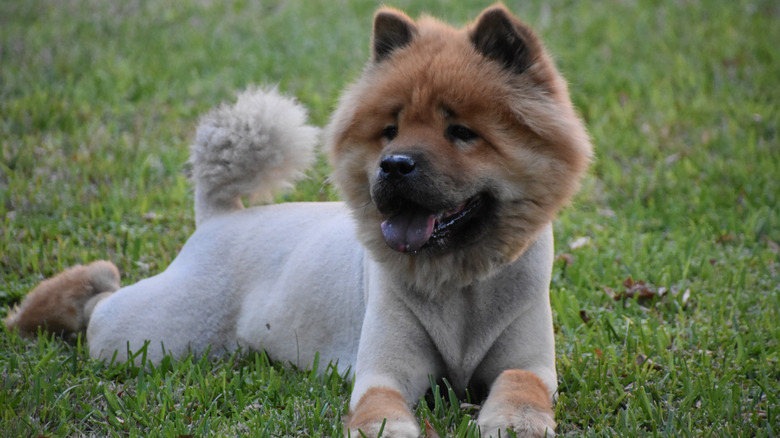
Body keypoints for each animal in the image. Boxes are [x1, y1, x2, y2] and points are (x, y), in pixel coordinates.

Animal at [4, 4, 592, 438]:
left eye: (462, 133)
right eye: (391, 129)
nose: (394, 165)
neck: (459, 286)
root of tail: (219, 216)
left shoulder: (529, 361)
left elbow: (521, 387)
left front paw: (515, 421)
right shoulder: (384, 368)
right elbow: (380, 405)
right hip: (149, 338)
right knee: (101, 307)